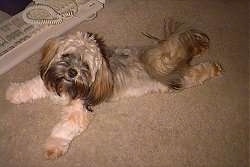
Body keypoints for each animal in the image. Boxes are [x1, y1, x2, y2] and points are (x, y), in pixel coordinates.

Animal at [4, 19, 223, 159]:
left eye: (86, 65)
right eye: (66, 55)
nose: (72, 72)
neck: (68, 87)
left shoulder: (80, 110)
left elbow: (64, 128)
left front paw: (53, 145)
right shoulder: (49, 83)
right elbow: (31, 86)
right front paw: (14, 92)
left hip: (179, 77)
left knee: (196, 70)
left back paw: (213, 67)